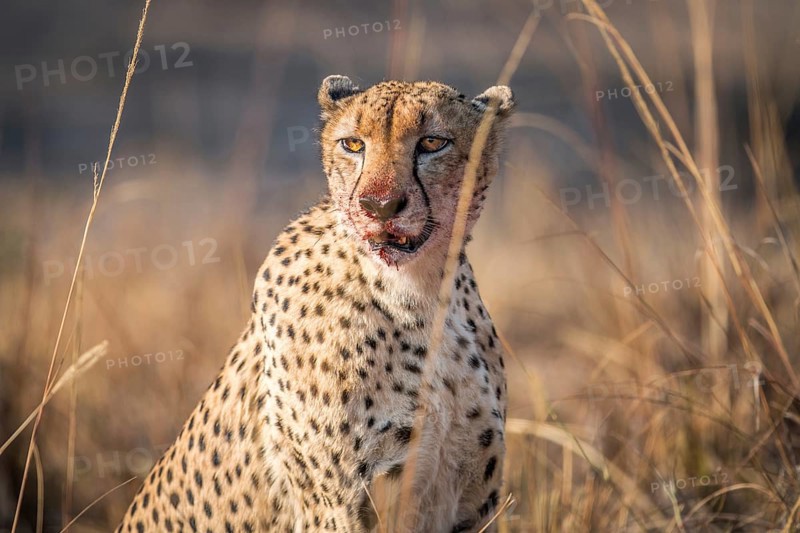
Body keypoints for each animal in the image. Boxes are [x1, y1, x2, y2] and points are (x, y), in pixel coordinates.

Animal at [116, 75, 515, 533]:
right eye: (353, 144)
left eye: (433, 142)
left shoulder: (474, 502)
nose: (379, 205)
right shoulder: (339, 507)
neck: (422, 295)